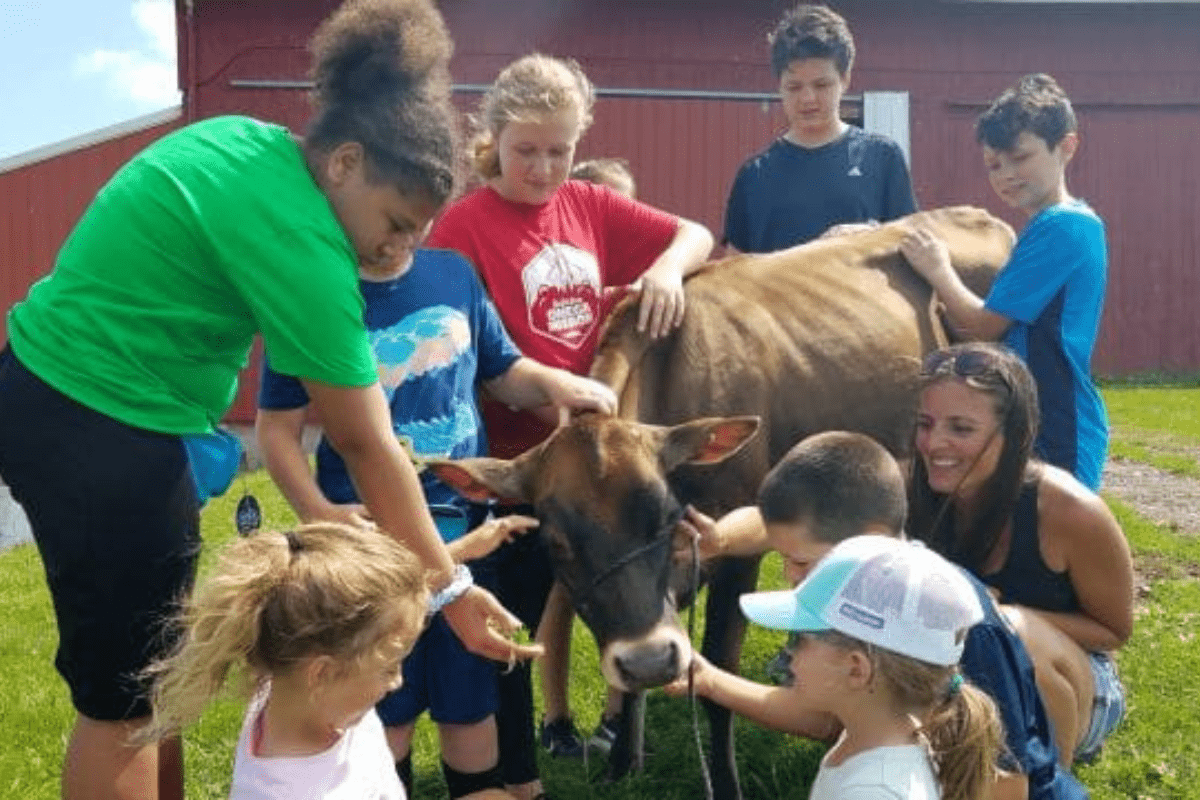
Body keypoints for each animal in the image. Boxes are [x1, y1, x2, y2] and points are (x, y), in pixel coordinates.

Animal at [429, 208, 1012, 800]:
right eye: (556, 542)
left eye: (666, 518)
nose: (648, 661)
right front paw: (621, 761)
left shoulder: (741, 556)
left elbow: (717, 681)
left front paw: (725, 782)